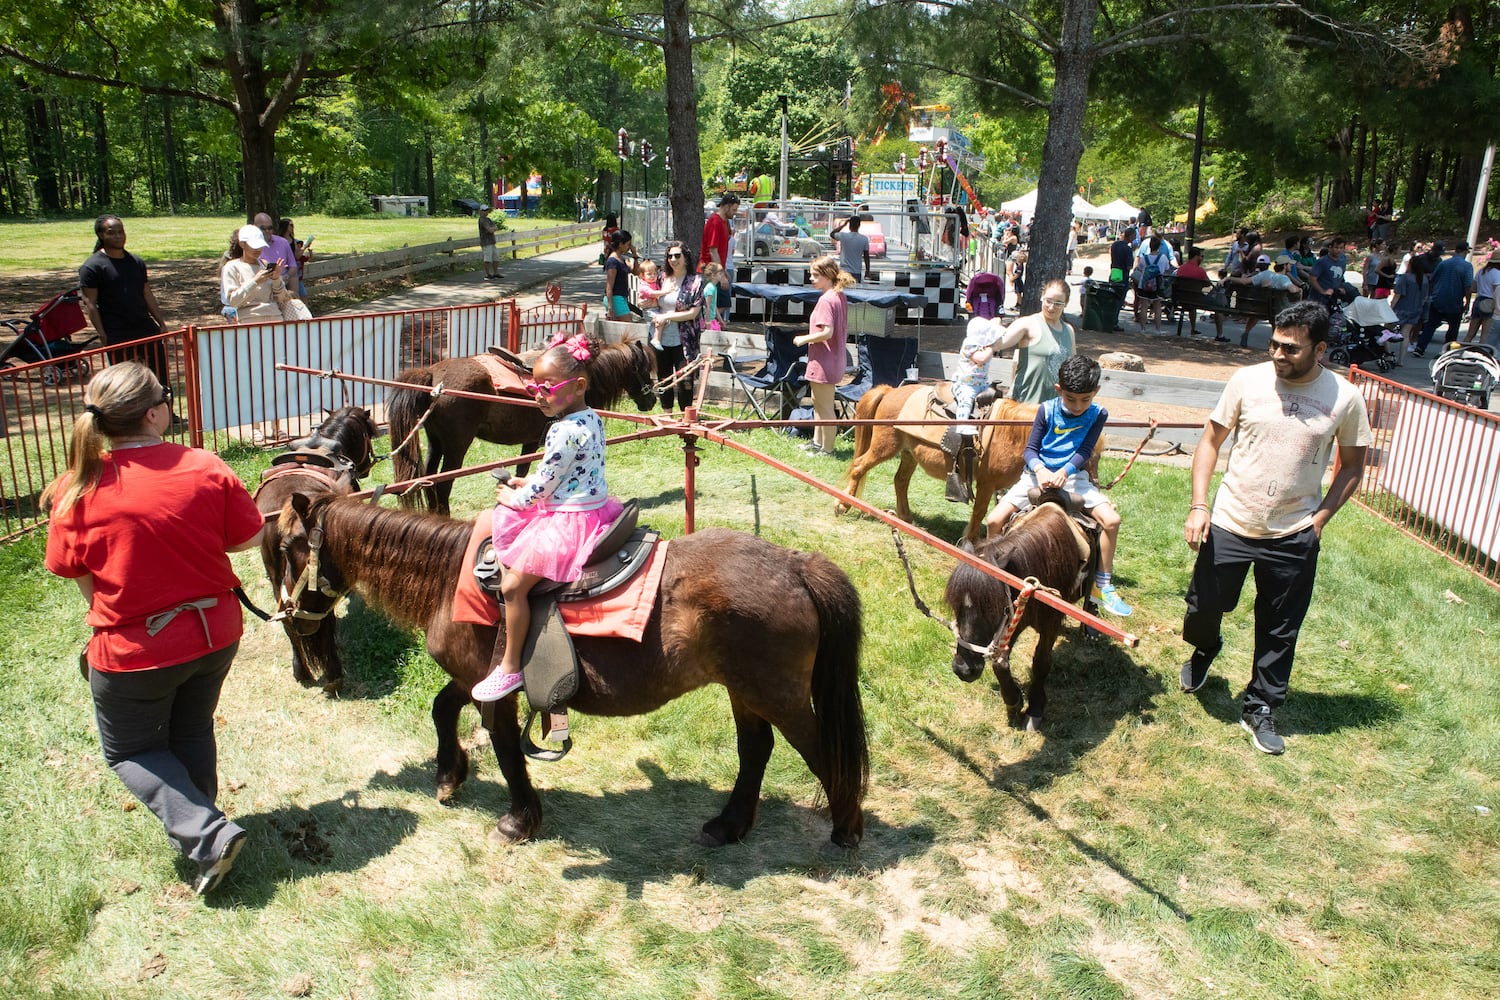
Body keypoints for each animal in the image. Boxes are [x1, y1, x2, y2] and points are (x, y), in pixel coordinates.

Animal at [255, 401, 381, 692]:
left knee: (288, 619)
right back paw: (333, 672)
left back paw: (301, 671)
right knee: (321, 620)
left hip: (277, 578)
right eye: (369, 433)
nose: (368, 465)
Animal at [276, 494, 870, 851]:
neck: (451, 578)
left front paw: (518, 819)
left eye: (285, 546)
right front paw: (448, 776)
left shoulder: (496, 688)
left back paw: (846, 829)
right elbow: (443, 709)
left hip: (777, 693)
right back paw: (729, 825)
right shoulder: (475, 677)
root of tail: (796, 563)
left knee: (821, 750)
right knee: (756, 751)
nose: (291, 619)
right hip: (745, 691)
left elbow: (506, 749)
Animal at [384, 340, 654, 512]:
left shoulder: (530, 442)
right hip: (456, 448)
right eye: (643, 368)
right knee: (443, 485)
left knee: (427, 480)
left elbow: (521, 474)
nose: (651, 400)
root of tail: (433, 375)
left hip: (436, 443)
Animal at [840, 380, 1038, 539]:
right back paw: (843, 504)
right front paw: (971, 542)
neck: (1009, 431)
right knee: (859, 466)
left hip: (909, 454)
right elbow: (980, 511)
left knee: (900, 481)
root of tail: (890, 391)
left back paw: (906, 519)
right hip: (884, 447)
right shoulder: (986, 482)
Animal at [942, 497, 1098, 731]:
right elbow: (1000, 662)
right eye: (956, 604)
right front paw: (1014, 701)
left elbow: (1041, 662)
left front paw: (1034, 708)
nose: (963, 669)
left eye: (993, 607)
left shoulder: (1048, 625)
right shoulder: (1014, 619)